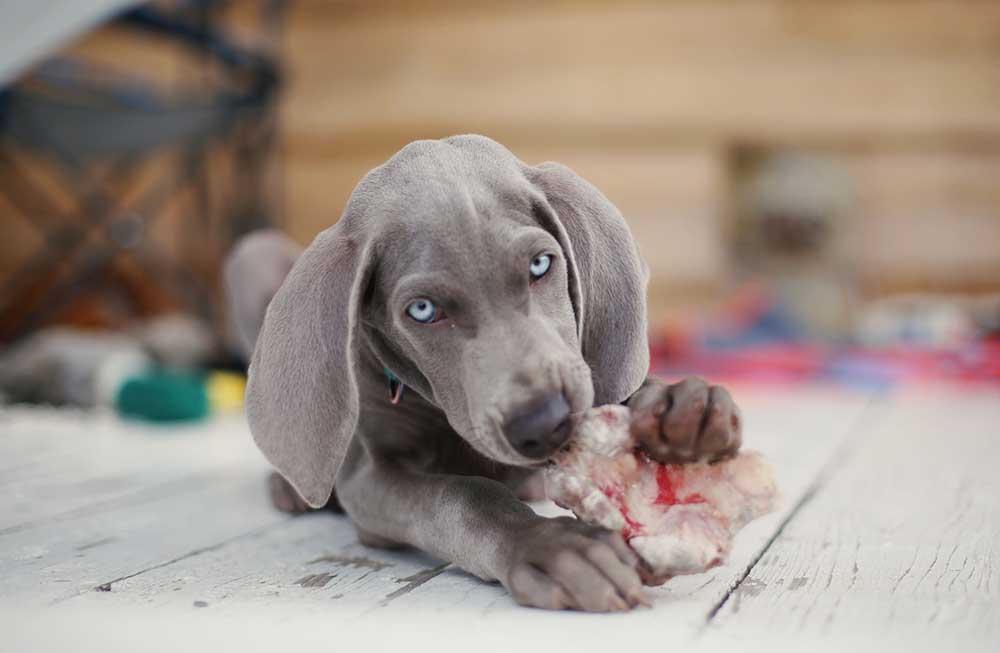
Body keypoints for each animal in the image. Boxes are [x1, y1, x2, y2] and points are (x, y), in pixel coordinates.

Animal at [230, 134, 740, 612]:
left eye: (540, 264)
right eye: (422, 310)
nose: (544, 424)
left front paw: (678, 413)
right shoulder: (367, 478)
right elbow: (460, 496)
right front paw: (553, 546)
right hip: (254, 254)